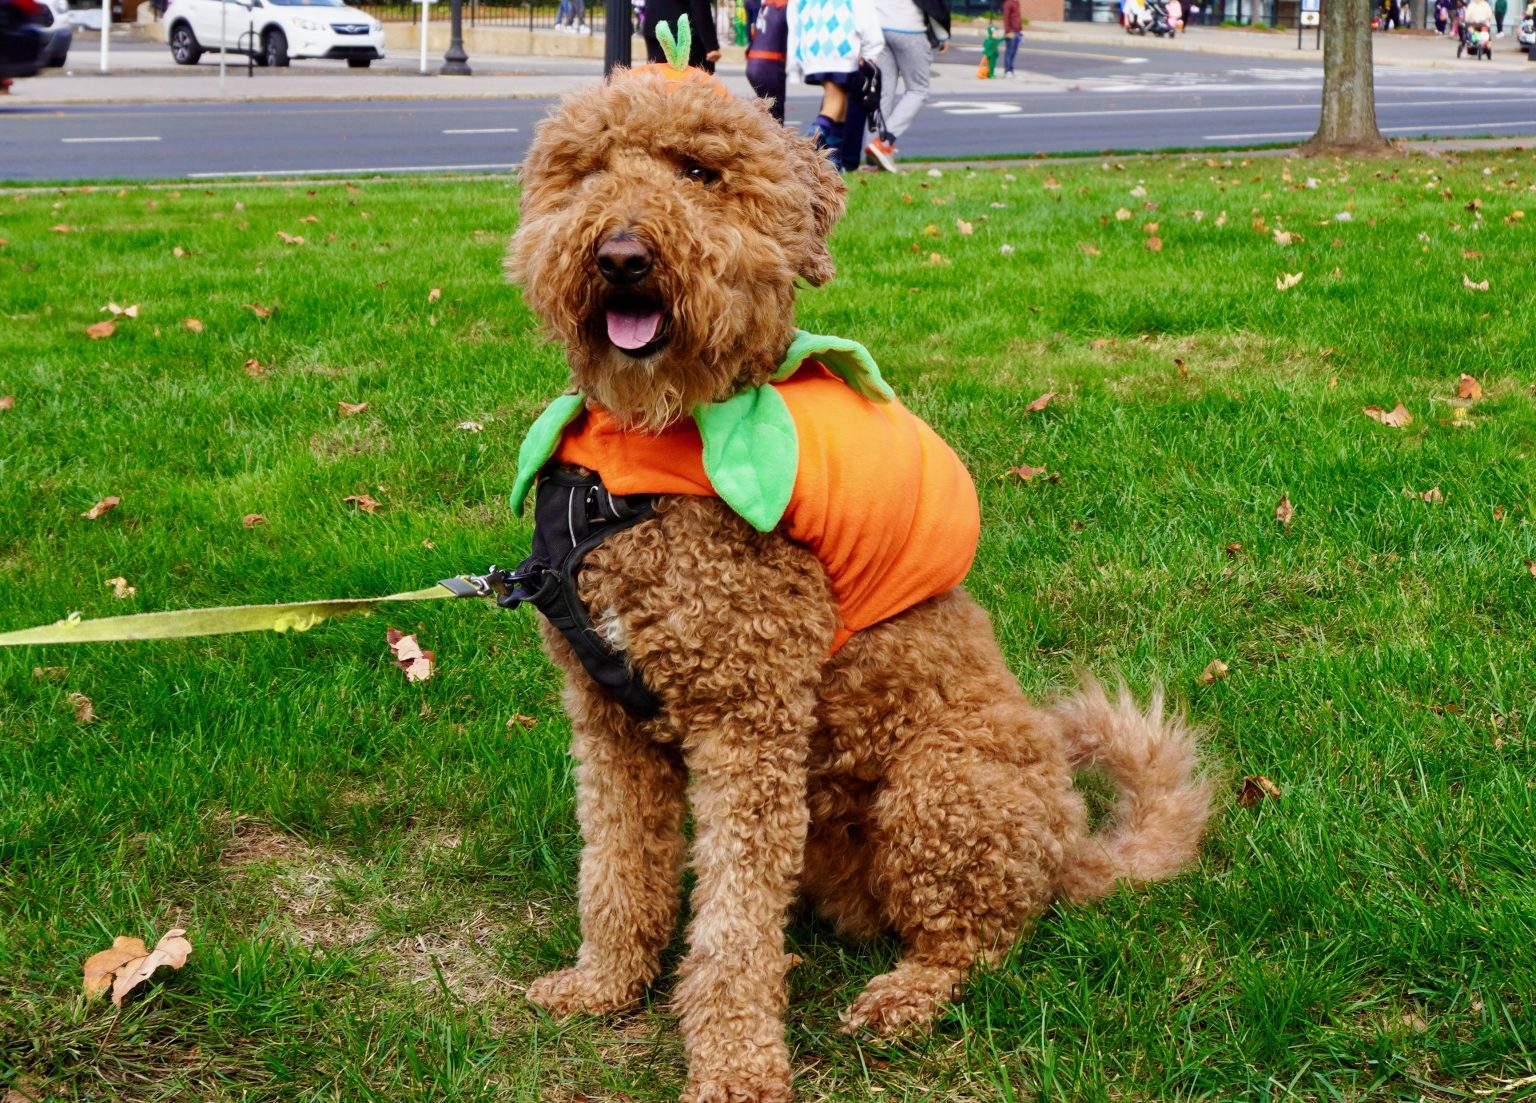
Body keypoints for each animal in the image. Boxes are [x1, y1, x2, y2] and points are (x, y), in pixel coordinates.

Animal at [503, 64, 1210, 1103]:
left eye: (699, 172)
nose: (622, 254)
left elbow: (732, 929)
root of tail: (1072, 851)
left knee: (975, 941)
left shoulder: (749, 726)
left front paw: (736, 1065)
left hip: (939, 788)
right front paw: (605, 984)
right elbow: (618, 873)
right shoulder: (610, 727)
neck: (647, 464)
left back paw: (903, 995)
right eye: (586, 171)